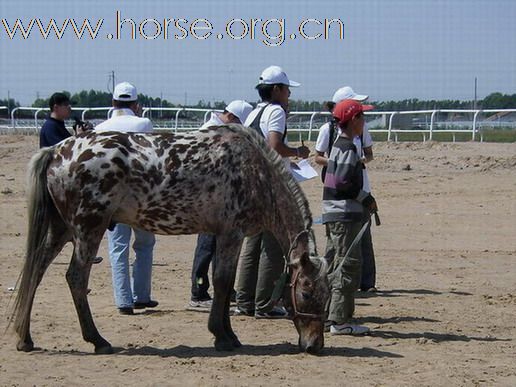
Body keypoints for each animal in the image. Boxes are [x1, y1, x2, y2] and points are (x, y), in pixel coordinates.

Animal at [13, 124, 330, 354]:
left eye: (326, 295)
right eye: (306, 292)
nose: (314, 346)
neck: (256, 172)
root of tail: (57, 151)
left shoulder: (223, 236)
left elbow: (223, 283)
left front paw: (227, 333)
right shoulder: (231, 234)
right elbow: (223, 282)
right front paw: (222, 336)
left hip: (61, 230)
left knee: (35, 272)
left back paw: (25, 339)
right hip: (88, 230)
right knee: (76, 278)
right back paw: (98, 340)